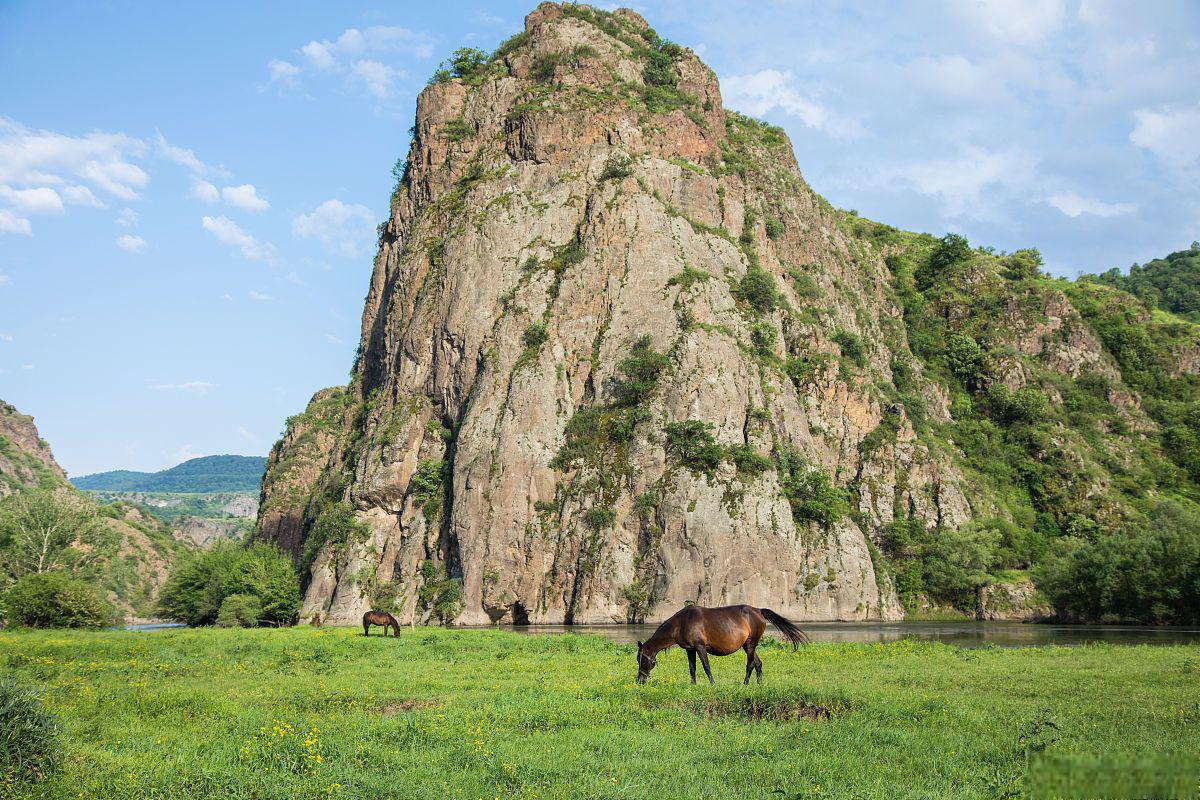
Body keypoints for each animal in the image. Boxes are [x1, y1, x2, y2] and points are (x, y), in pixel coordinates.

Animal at [633, 604, 811, 686]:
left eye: (640, 659)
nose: (640, 680)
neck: (681, 622)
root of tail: (758, 611)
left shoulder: (700, 647)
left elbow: (706, 667)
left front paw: (712, 684)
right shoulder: (690, 650)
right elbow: (692, 668)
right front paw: (693, 685)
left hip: (751, 644)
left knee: (750, 664)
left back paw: (745, 684)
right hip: (747, 645)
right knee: (758, 664)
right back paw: (759, 684)